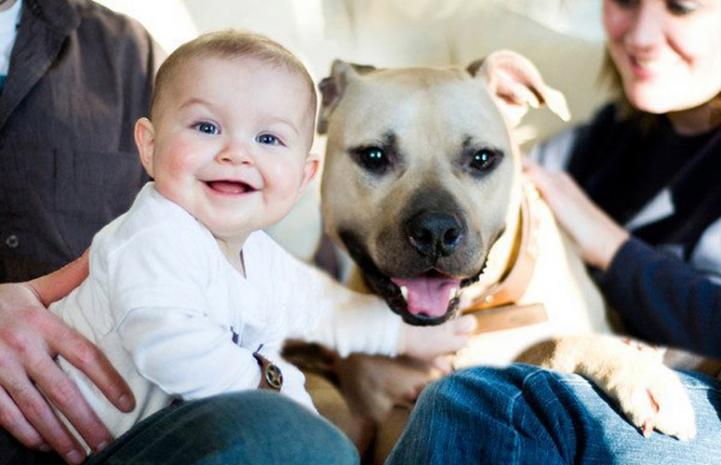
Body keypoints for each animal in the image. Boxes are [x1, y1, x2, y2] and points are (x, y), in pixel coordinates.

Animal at [312, 49, 696, 456]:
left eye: (482, 159)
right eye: (373, 156)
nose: (435, 231)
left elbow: (551, 341)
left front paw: (640, 372)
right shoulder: (374, 418)